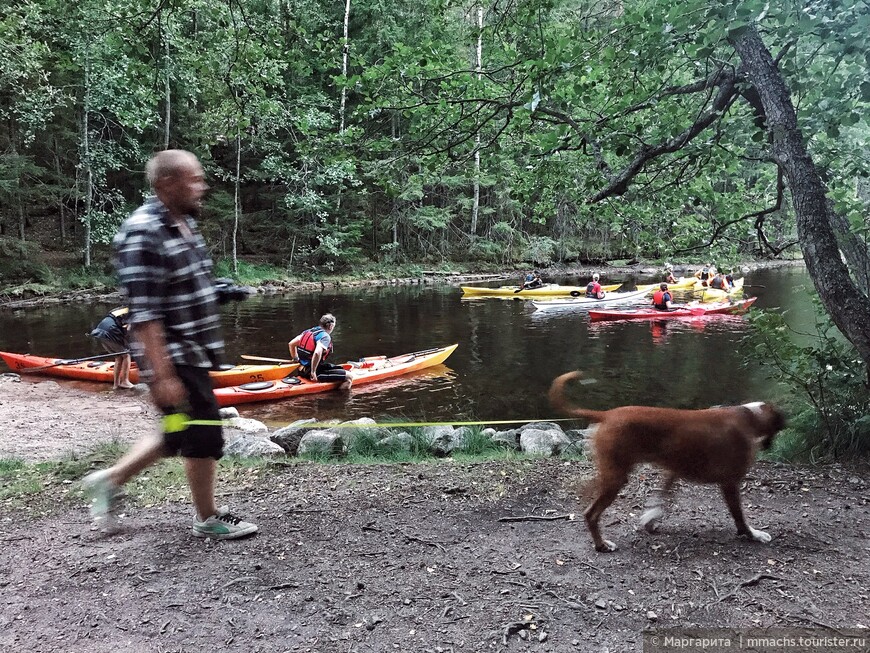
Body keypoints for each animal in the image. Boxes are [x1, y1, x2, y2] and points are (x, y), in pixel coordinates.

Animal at [552, 372, 792, 552]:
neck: (749, 416)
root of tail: (607, 414)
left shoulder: (673, 471)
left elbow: (661, 499)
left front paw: (650, 519)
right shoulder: (730, 483)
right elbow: (740, 516)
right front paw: (752, 534)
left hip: (612, 473)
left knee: (587, 492)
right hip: (616, 478)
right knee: (591, 513)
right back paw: (601, 545)